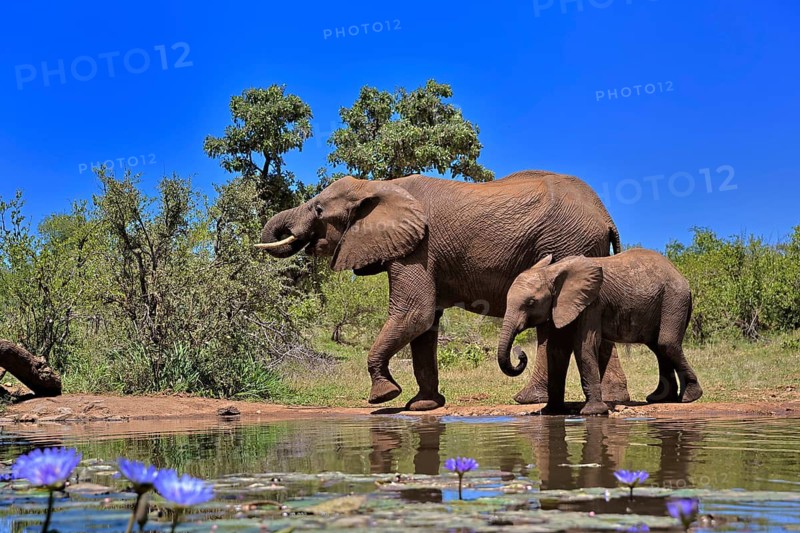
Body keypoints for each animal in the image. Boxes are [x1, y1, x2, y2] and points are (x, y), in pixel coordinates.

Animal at [256, 170, 631, 411]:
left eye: (319, 209)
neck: (379, 187)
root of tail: (606, 216)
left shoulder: (417, 249)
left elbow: (414, 314)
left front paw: (383, 396)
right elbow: (425, 325)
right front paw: (424, 404)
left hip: (567, 243)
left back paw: (530, 400)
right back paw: (614, 399)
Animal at [497, 248, 703, 416]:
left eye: (531, 303)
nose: (520, 353)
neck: (552, 271)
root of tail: (681, 276)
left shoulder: (592, 303)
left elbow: (584, 345)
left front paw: (593, 412)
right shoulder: (560, 306)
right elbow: (556, 350)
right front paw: (550, 412)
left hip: (674, 299)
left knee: (666, 343)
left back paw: (689, 397)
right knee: (658, 348)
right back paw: (661, 399)